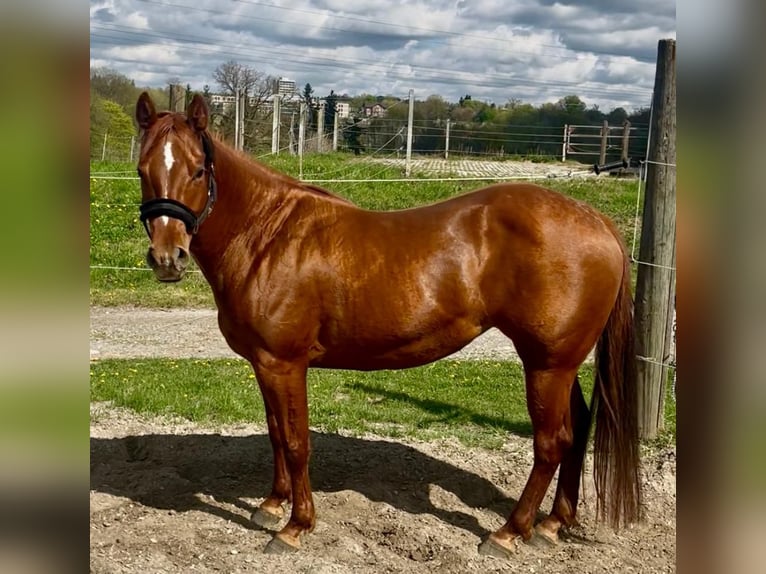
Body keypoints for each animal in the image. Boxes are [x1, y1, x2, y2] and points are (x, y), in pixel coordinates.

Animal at [134, 92, 642, 558]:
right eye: (142, 170)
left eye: (198, 171)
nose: (166, 257)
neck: (267, 236)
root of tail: (596, 220)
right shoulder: (264, 364)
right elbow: (277, 435)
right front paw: (272, 505)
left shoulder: (284, 364)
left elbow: (297, 442)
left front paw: (296, 526)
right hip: (560, 364)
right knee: (577, 430)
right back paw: (553, 524)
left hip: (546, 365)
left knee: (551, 442)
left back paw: (509, 532)